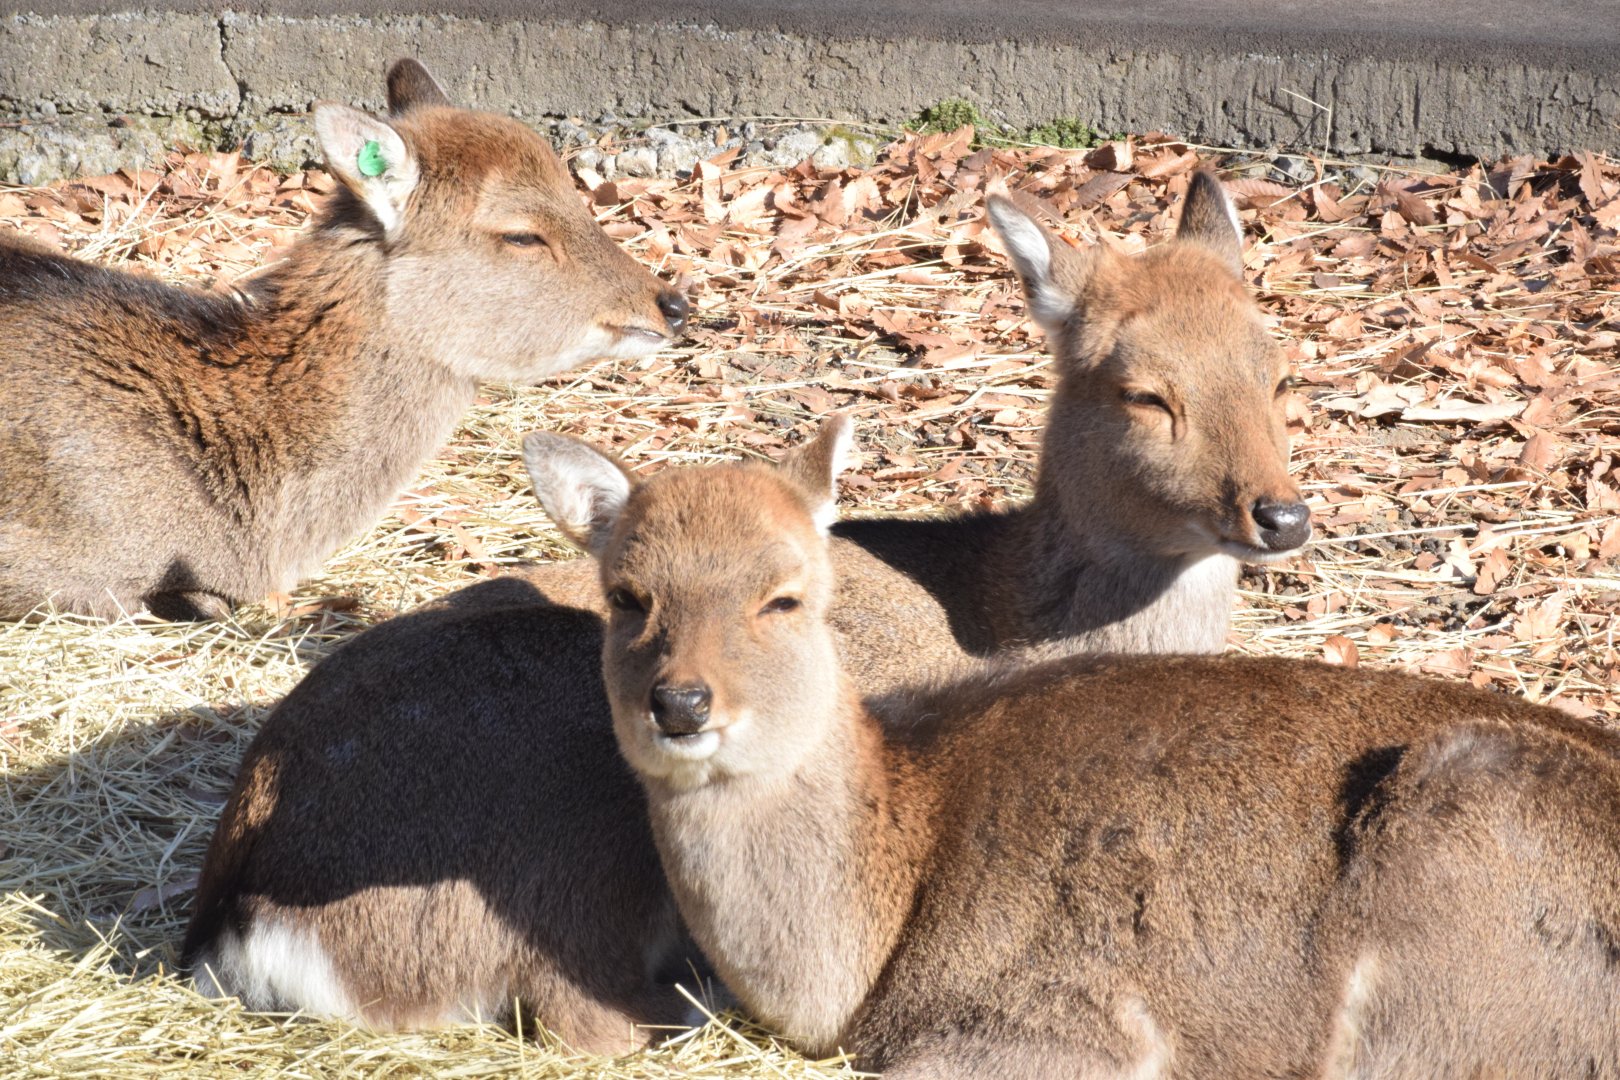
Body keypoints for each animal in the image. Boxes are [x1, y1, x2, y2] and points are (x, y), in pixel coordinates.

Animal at [182, 174, 1314, 1050]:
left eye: (1276, 368)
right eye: (1143, 392)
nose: (1282, 513)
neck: (1007, 608)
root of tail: (241, 919)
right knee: (580, 1006)